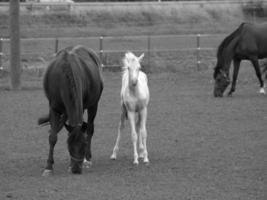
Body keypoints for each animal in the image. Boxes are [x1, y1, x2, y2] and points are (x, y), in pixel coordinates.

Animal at [38, 45, 103, 175]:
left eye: (84, 145)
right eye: (69, 146)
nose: (76, 169)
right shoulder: (54, 108)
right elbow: (53, 137)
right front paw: (48, 167)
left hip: (93, 105)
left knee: (90, 128)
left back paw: (88, 159)